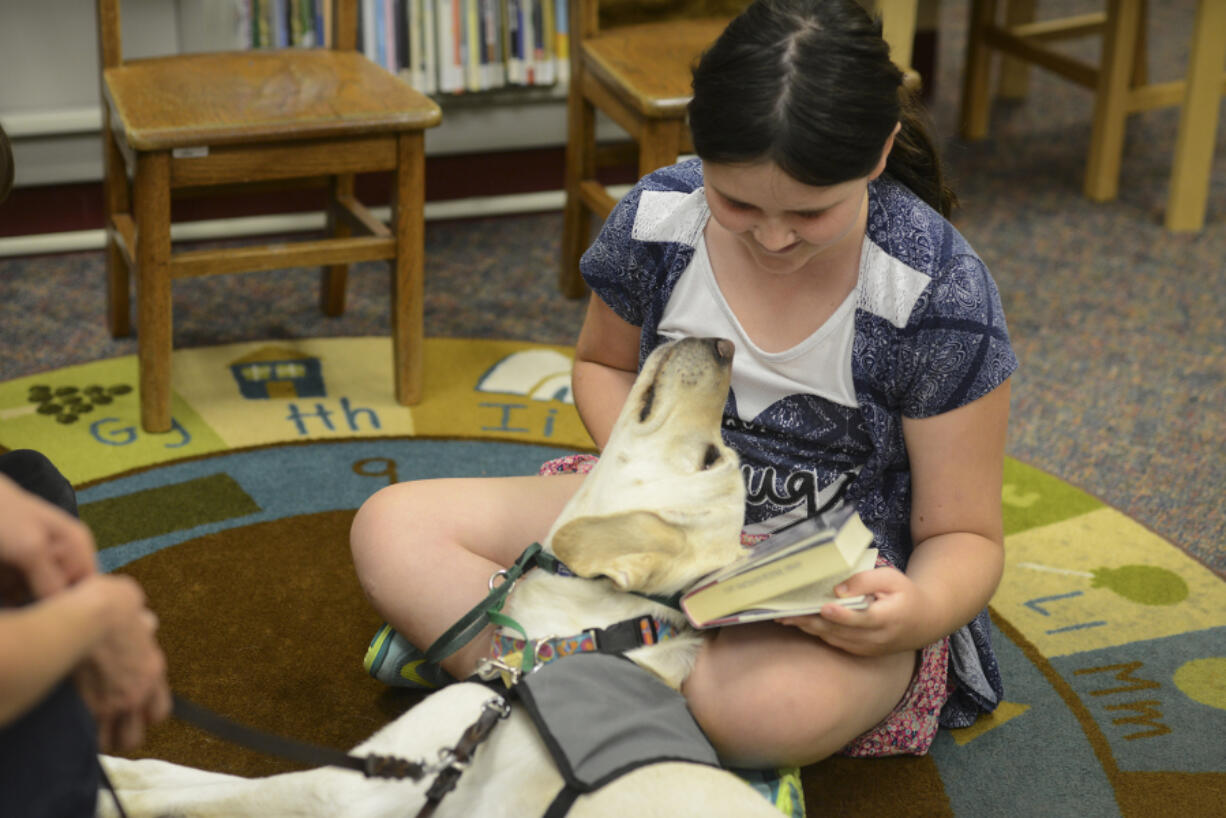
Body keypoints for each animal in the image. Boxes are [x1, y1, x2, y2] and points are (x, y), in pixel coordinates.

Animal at [100, 338, 779, 818]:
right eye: (717, 456)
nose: (724, 346)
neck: (579, 638)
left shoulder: (357, 784)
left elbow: (208, 785)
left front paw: (110, 784)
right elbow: (183, 776)